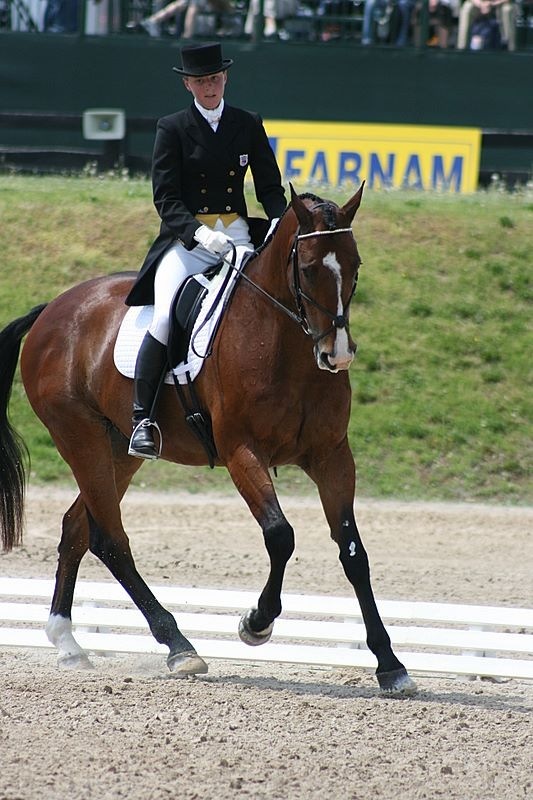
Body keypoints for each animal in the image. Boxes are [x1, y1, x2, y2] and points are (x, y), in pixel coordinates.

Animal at [0, 184, 415, 695]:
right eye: (308, 268)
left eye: (355, 266)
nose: (336, 355)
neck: (285, 343)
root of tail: (51, 311)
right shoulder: (242, 451)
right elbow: (280, 535)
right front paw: (256, 624)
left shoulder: (332, 457)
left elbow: (354, 553)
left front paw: (390, 664)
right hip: (80, 437)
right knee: (110, 539)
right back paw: (179, 646)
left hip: (118, 449)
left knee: (78, 528)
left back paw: (68, 642)